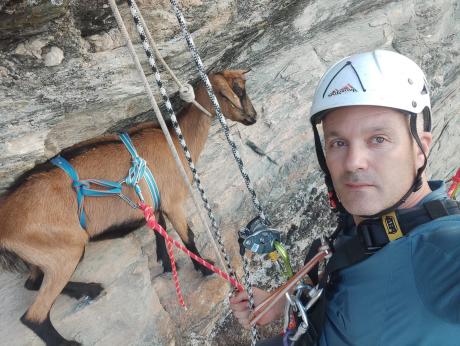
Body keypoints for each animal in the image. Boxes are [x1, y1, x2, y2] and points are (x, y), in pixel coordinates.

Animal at [0, 69, 255, 344]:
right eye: (236, 91)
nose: (253, 117)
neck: (175, 141)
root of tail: (5, 222)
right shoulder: (173, 201)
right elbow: (187, 236)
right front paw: (204, 268)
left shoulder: (152, 201)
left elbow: (159, 231)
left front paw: (167, 264)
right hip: (64, 251)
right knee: (34, 315)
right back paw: (68, 336)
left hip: (45, 256)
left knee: (32, 284)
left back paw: (88, 289)